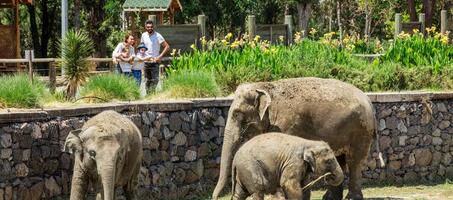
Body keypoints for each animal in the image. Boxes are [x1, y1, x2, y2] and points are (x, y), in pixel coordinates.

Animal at [214, 77, 384, 200]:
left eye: (237, 114)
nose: (215, 197)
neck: (265, 86)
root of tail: (369, 101)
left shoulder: (287, 123)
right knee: (340, 160)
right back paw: (329, 198)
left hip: (360, 130)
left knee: (354, 161)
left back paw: (351, 198)